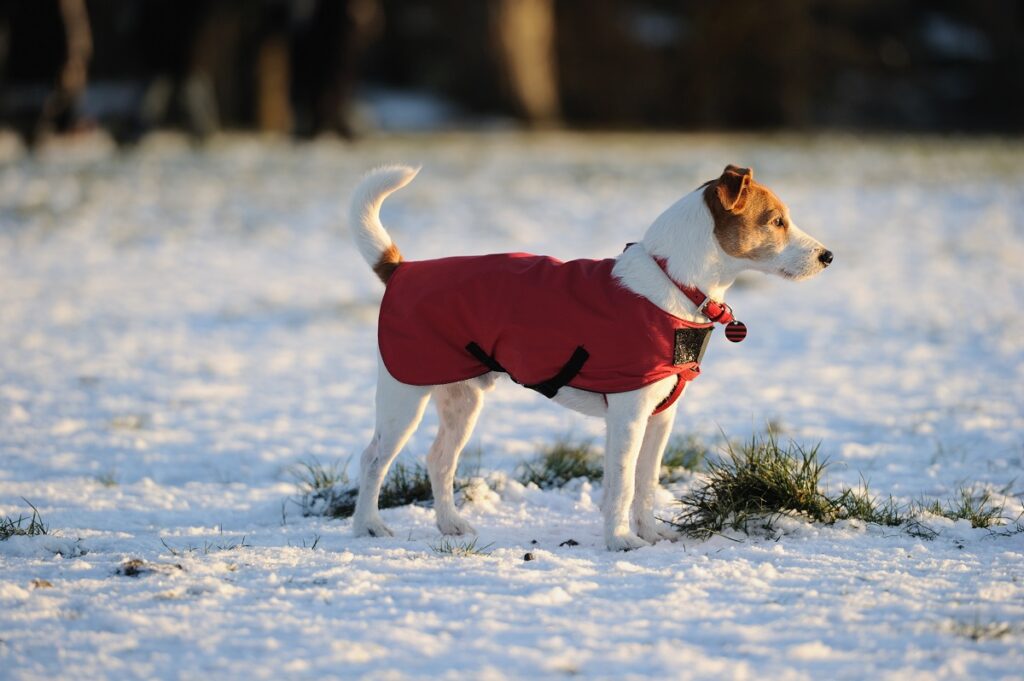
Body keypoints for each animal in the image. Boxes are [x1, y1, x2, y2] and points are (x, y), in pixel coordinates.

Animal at [348, 164, 827, 552]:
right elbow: (622, 485)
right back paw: (368, 526)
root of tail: (401, 270)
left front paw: (651, 533)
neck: (673, 285)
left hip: (463, 398)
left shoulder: (660, 417)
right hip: (404, 397)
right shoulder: (628, 414)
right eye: (776, 221)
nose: (828, 256)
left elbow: (646, 483)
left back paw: (450, 524)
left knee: (440, 460)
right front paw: (621, 541)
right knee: (372, 459)